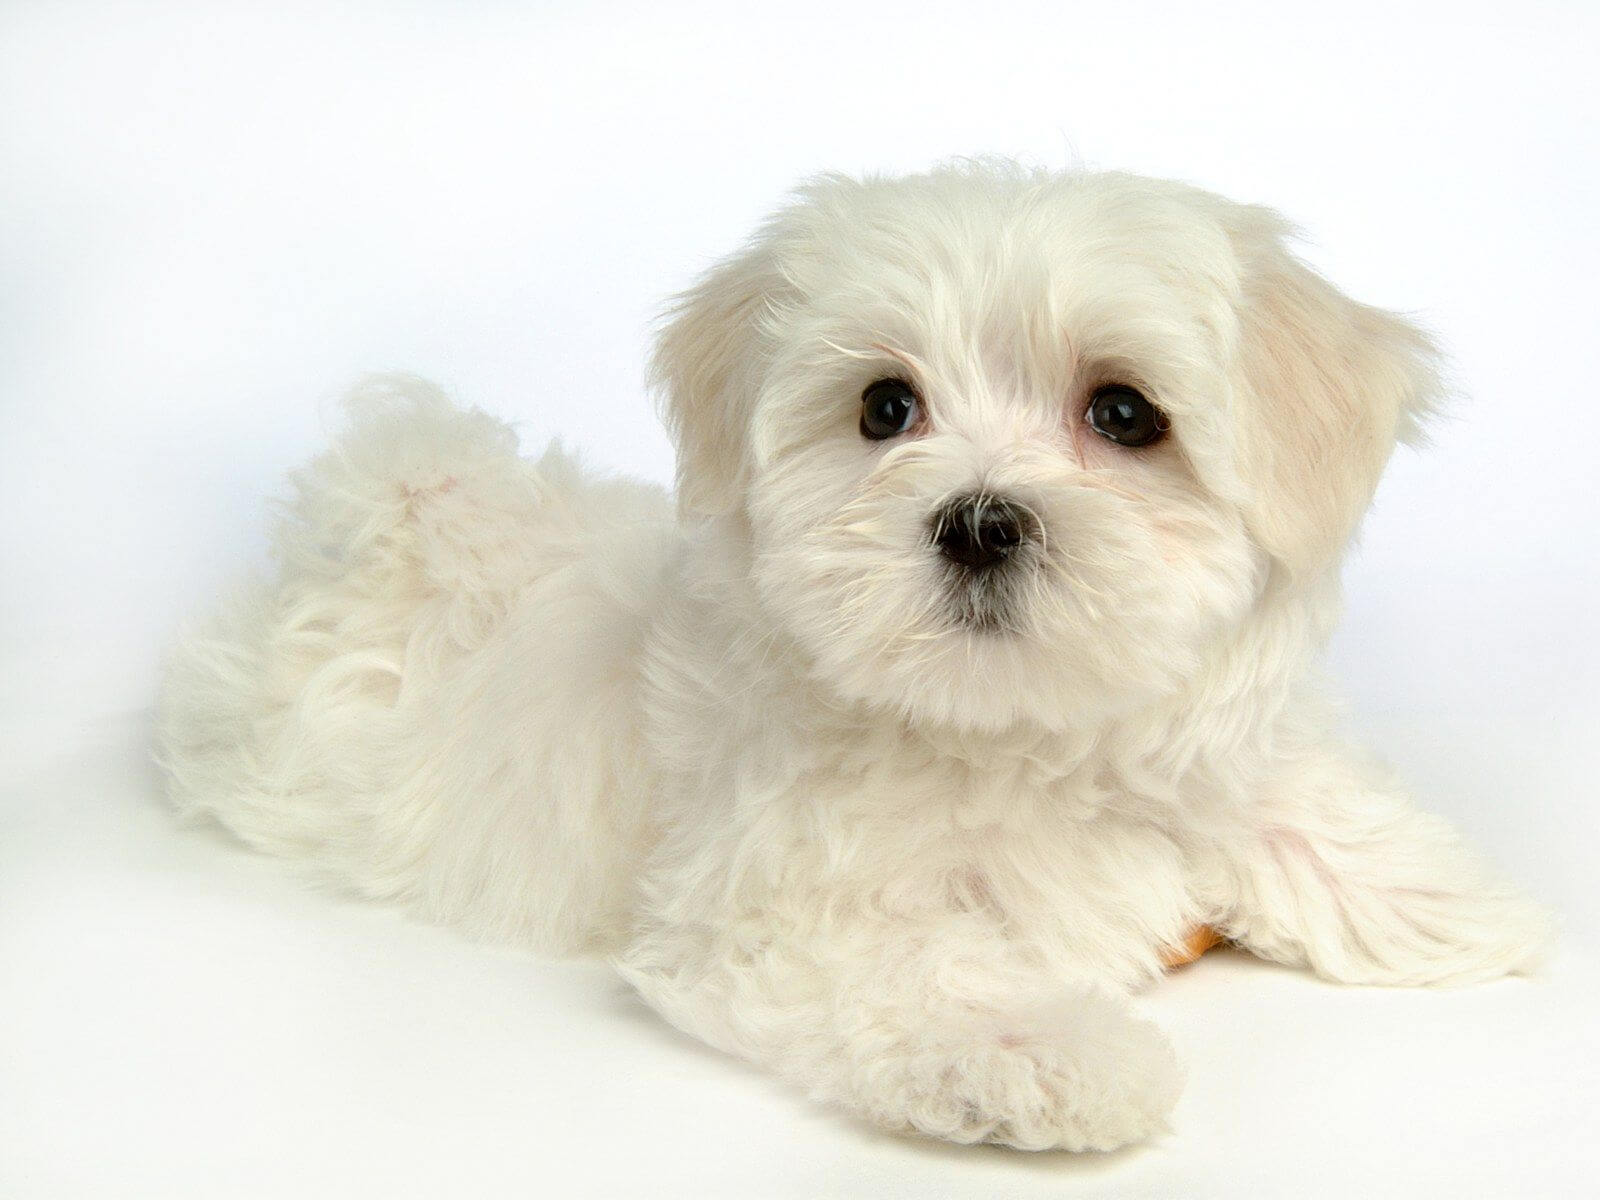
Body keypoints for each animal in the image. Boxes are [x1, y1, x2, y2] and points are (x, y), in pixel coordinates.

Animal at [162, 162, 1548, 1158]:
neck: (1010, 733)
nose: (980, 521)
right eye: (885, 407)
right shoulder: (765, 904)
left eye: (1122, 414)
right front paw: (1042, 1053)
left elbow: (1291, 813)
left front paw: (1451, 902)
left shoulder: (1193, 752)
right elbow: (921, 966)